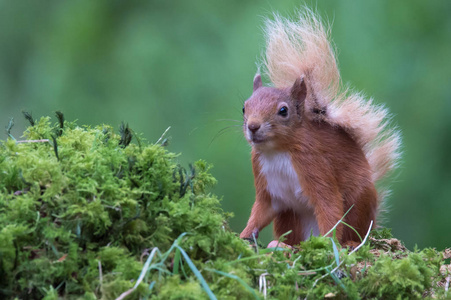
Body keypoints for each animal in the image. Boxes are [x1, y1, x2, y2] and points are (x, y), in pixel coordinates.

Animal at [238, 10, 400, 247]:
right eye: (244, 108)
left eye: (283, 111)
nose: (253, 126)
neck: (277, 151)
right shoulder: (267, 187)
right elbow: (260, 212)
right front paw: (243, 235)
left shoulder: (315, 165)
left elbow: (329, 205)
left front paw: (326, 243)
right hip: (290, 217)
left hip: (358, 202)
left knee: (355, 230)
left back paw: (349, 243)